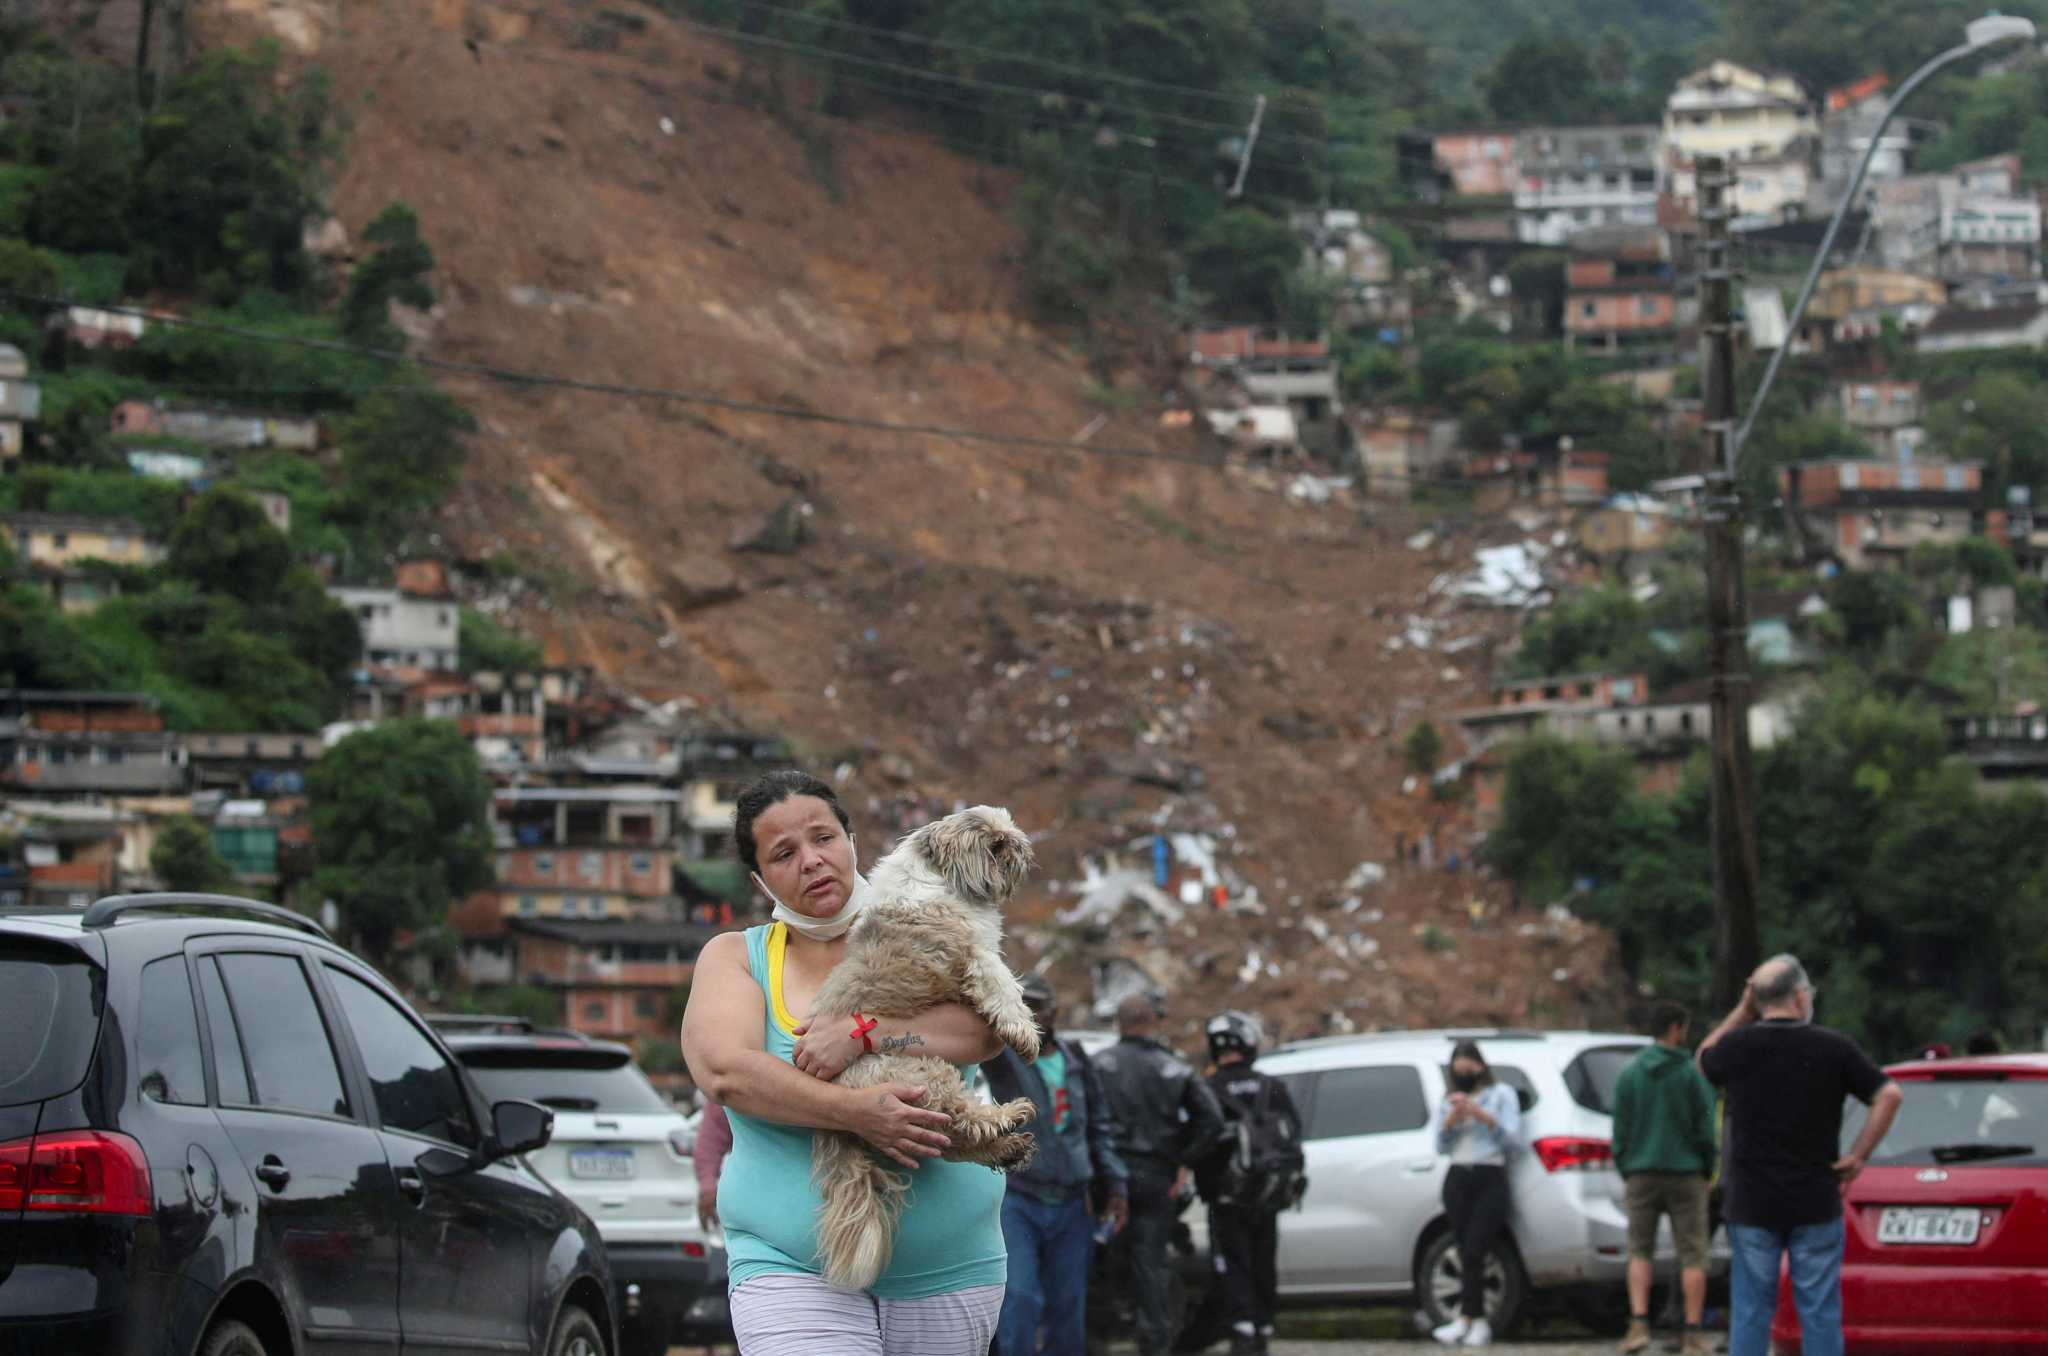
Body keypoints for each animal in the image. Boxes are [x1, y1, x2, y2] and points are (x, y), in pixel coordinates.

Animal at [806, 807, 1048, 1294]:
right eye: (996, 843)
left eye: (1009, 831)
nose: (1020, 845)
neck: (940, 879)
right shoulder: (977, 956)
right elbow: (1004, 990)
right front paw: (1026, 1034)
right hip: (922, 1073)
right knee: (964, 1119)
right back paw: (1008, 1117)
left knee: (953, 1140)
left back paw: (1008, 1148)